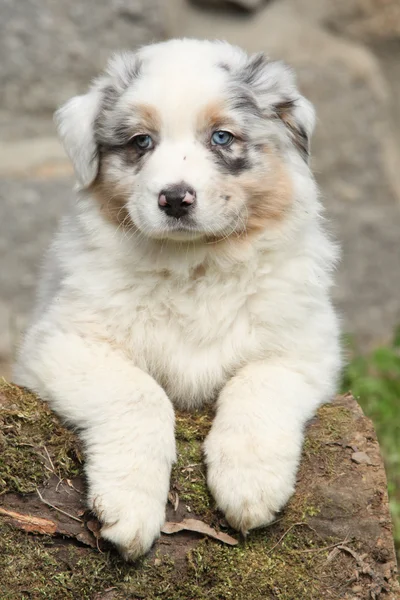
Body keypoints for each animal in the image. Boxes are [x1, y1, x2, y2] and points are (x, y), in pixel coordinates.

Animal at [14, 39, 340, 560]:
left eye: (222, 138)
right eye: (141, 142)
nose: (174, 198)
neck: (195, 267)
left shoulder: (305, 346)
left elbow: (256, 384)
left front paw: (250, 486)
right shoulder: (63, 341)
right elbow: (140, 394)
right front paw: (128, 507)